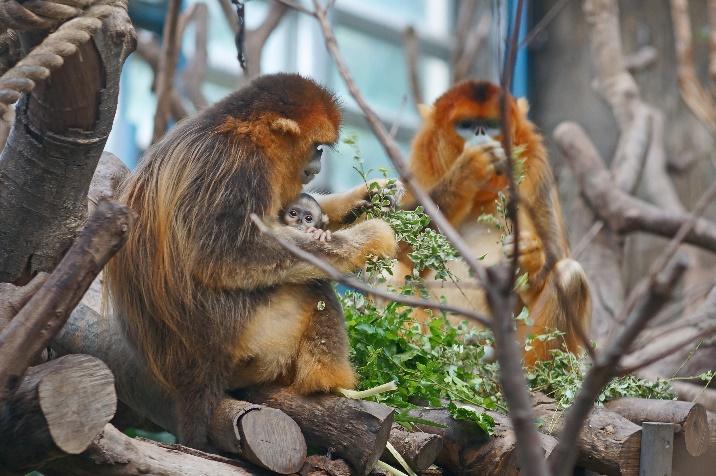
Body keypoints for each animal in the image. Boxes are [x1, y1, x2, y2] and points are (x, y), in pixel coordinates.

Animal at [400, 80, 592, 366]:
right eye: (466, 124)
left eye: (492, 124)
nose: (480, 133)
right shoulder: (422, 158)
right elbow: (399, 240)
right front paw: (468, 169)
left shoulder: (536, 164)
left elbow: (555, 257)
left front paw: (529, 257)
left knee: (570, 275)